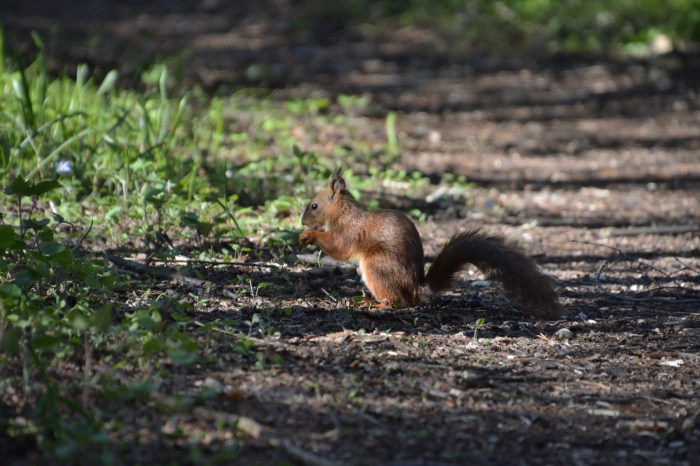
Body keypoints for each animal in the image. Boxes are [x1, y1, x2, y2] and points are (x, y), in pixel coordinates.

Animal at [299, 174, 562, 319]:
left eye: (314, 206)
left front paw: (309, 235)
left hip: (376, 265)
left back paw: (376, 304)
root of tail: (417, 289)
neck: (343, 211)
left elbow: (339, 247)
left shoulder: (348, 230)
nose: (302, 222)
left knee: (400, 302)